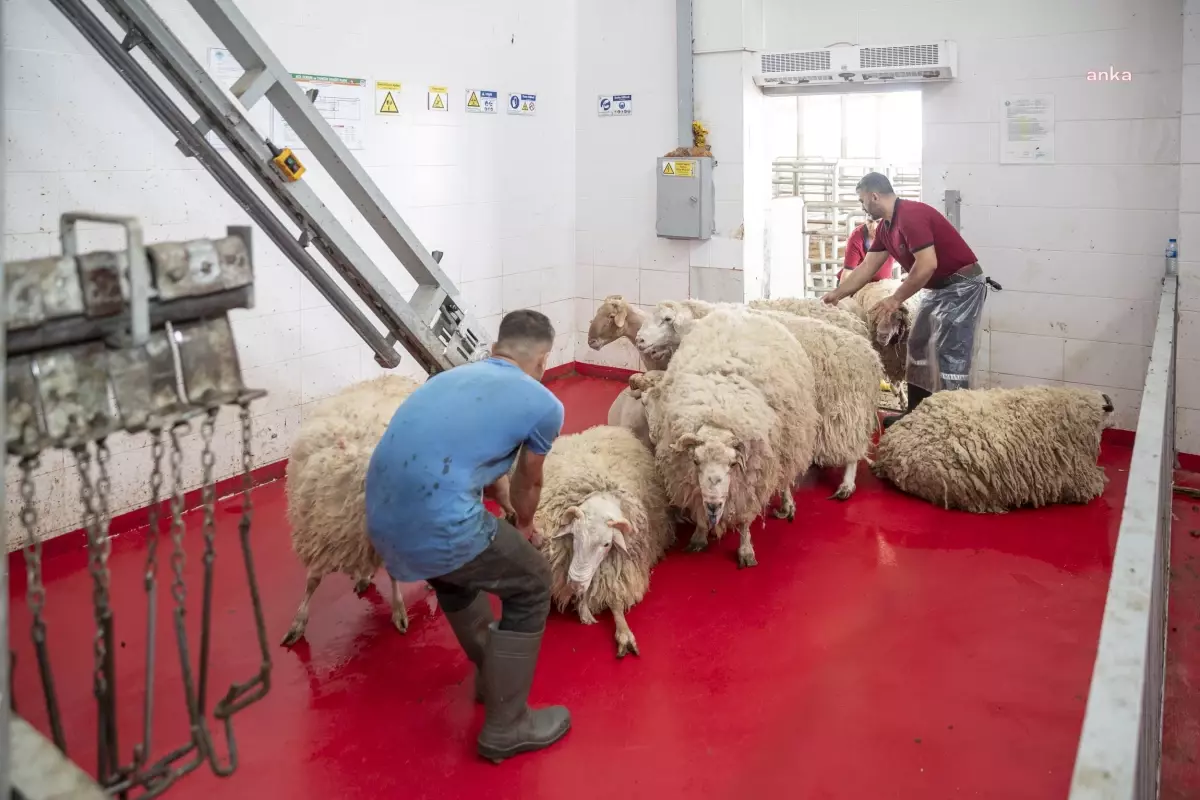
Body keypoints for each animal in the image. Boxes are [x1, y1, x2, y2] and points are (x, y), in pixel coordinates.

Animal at [535, 424, 676, 657]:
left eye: (607, 544)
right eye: (574, 535)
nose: (576, 582)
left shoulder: (619, 573)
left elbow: (616, 604)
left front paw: (624, 633)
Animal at [638, 299, 883, 501]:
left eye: (667, 319)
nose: (639, 340)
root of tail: (870, 354)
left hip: (846, 409)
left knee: (853, 450)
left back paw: (846, 485)